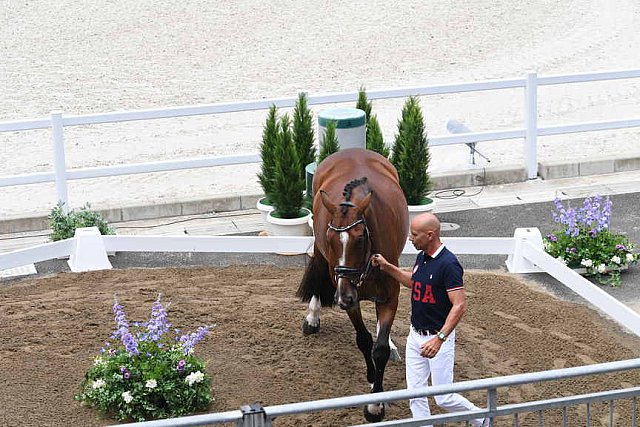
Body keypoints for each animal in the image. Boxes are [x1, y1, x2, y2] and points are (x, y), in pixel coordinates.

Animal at [298, 149, 408, 422]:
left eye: (360, 239)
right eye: (331, 238)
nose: (343, 298)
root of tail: (351, 151)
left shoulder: (389, 297)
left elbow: (379, 348)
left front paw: (375, 403)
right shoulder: (350, 299)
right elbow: (364, 340)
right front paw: (371, 383)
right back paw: (312, 318)